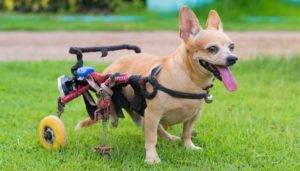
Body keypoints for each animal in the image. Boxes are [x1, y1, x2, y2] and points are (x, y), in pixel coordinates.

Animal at [77, 6, 237, 164]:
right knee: (107, 103)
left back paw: (169, 137)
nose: (233, 58)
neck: (190, 80)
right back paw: (113, 116)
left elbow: (187, 132)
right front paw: (152, 157)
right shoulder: (153, 114)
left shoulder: (193, 115)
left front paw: (189, 146)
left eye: (232, 47)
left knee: (155, 127)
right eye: (212, 49)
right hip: (107, 88)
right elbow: (151, 139)